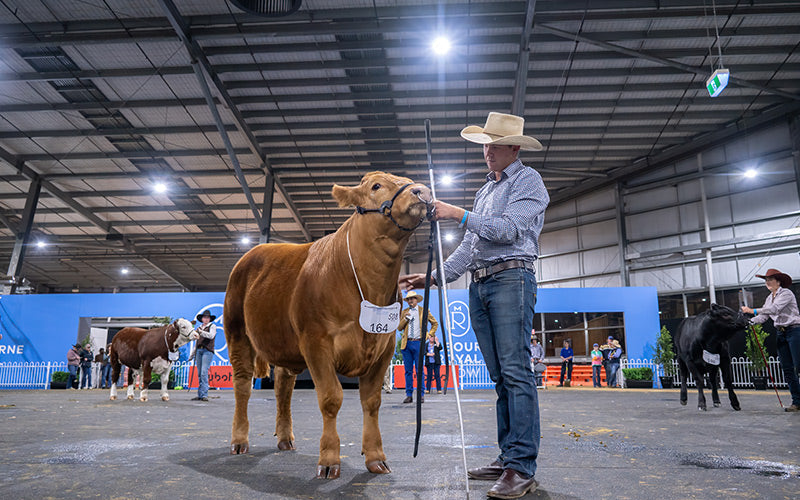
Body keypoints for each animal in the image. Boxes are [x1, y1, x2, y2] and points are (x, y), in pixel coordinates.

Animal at [224, 171, 431, 479]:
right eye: (376, 186)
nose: (422, 191)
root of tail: (255, 251)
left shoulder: (384, 347)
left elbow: (372, 402)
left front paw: (376, 457)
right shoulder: (316, 343)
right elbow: (331, 399)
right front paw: (330, 459)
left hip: (285, 344)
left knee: (283, 387)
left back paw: (285, 438)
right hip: (237, 330)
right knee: (242, 384)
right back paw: (239, 441)